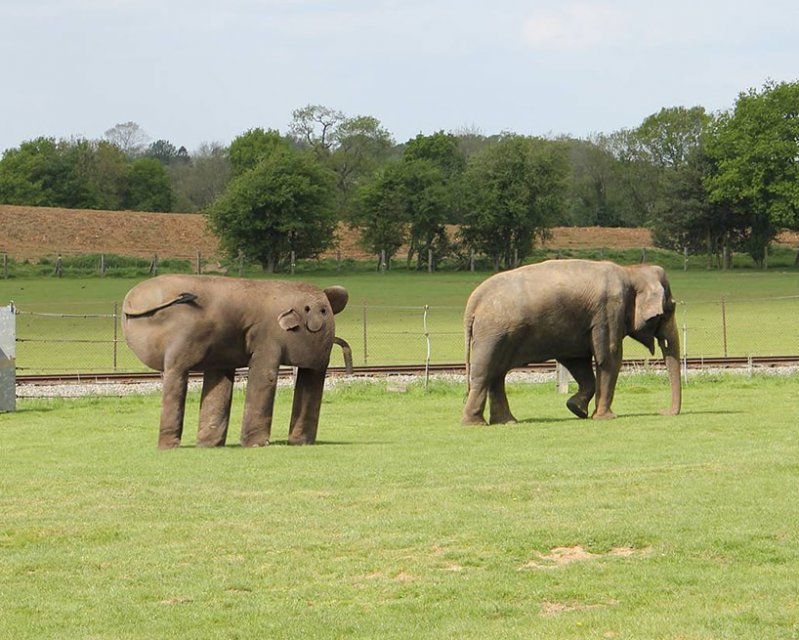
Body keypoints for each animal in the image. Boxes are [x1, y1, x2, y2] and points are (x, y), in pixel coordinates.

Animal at [122, 276, 350, 450]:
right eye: (320, 311)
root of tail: (130, 301)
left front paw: (209, 445)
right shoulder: (268, 337)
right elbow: (264, 376)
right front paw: (256, 445)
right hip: (182, 339)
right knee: (176, 371)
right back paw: (168, 447)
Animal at [462, 260, 680, 424]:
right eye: (670, 308)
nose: (663, 412)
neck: (630, 271)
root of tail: (473, 301)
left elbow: (577, 362)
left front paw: (577, 410)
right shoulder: (609, 311)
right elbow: (609, 357)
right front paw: (606, 417)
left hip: (498, 335)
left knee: (496, 374)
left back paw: (506, 422)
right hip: (492, 334)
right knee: (485, 372)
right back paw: (475, 423)